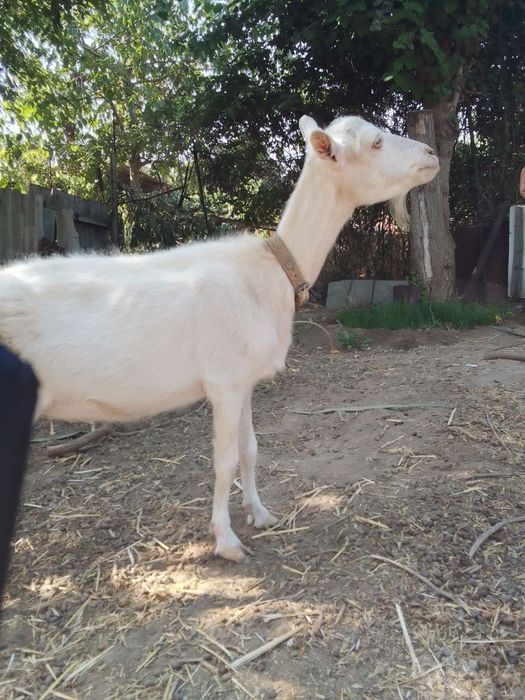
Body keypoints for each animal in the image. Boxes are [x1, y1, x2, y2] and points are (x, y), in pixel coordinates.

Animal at [0, 115, 439, 560]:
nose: (431, 154)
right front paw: (227, 541)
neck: (271, 271)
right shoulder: (224, 381)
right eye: (376, 142)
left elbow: (250, 449)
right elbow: (224, 459)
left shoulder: (243, 381)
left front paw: (260, 513)